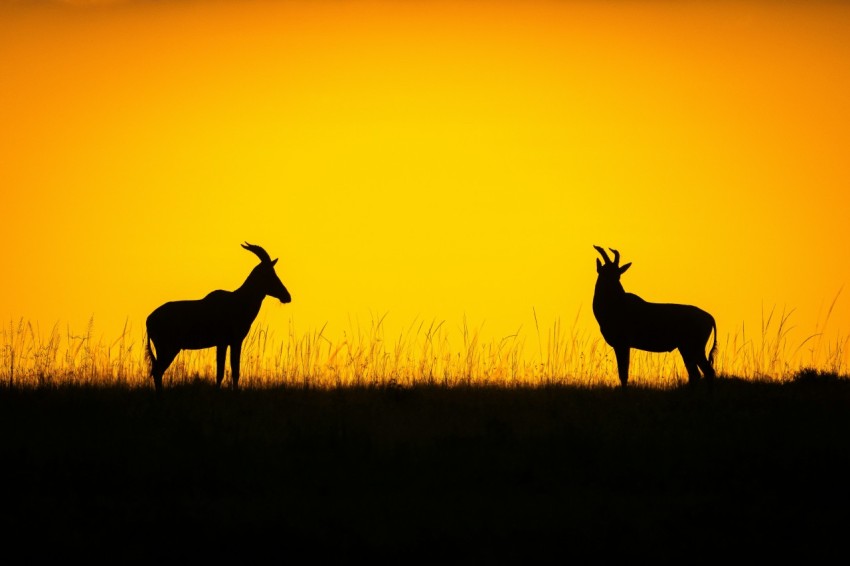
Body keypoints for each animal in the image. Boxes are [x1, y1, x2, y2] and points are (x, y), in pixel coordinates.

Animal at [146, 244, 292, 394]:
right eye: (270, 273)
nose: (287, 296)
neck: (238, 300)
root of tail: (149, 319)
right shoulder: (227, 342)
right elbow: (224, 372)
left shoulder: (229, 343)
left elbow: (231, 371)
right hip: (168, 348)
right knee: (157, 371)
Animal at [588, 246, 716, 388]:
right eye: (605, 272)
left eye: (618, 274)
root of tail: (709, 317)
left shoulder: (622, 344)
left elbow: (623, 374)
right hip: (686, 349)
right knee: (697, 374)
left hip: (694, 348)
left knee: (706, 372)